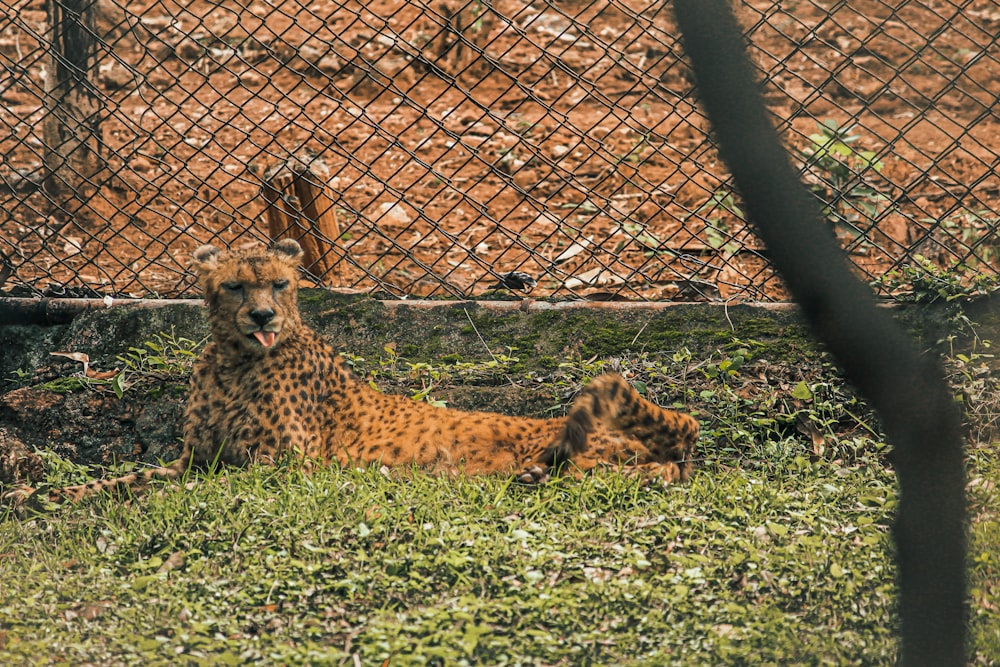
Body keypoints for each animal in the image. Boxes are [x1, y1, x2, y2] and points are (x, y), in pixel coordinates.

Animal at [7, 241, 700, 506]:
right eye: (235, 285)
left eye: (280, 284)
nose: (263, 315)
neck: (236, 359)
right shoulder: (196, 458)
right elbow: (126, 478)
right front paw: (38, 496)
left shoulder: (283, 467)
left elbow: (185, 488)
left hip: (594, 452)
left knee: (649, 473)